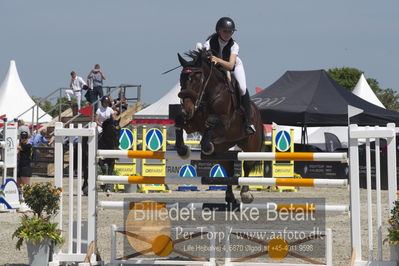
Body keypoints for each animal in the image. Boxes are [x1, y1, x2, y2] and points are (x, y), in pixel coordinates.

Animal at [176, 48, 266, 204]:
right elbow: (180, 121)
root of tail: (257, 111)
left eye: (196, 79)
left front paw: (206, 146)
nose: (186, 110)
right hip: (223, 148)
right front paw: (182, 149)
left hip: (251, 145)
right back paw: (230, 197)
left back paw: (246, 193)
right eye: (181, 79)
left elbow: (211, 121)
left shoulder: (224, 125)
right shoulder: (193, 123)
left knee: (247, 165)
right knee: (228, 169)